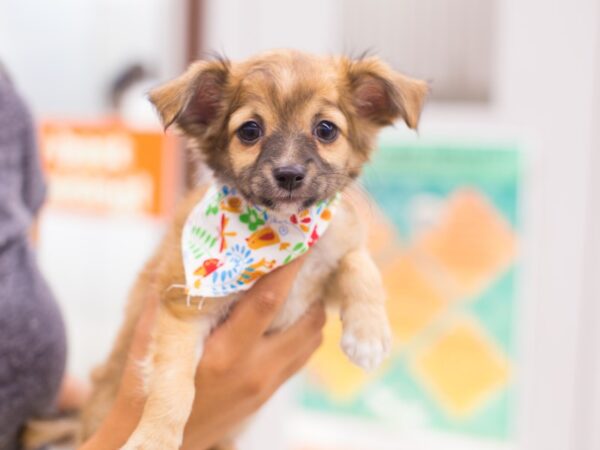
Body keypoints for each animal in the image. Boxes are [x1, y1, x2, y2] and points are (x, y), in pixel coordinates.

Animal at [79, 50, 426, 450]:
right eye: (250, 131)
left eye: (325, 130)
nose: (289, 174)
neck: (280, 229)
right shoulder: (184, 308)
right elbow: (173, 385)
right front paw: (154, 438)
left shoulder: (318, 284)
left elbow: (359, 262)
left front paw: (368, 334)